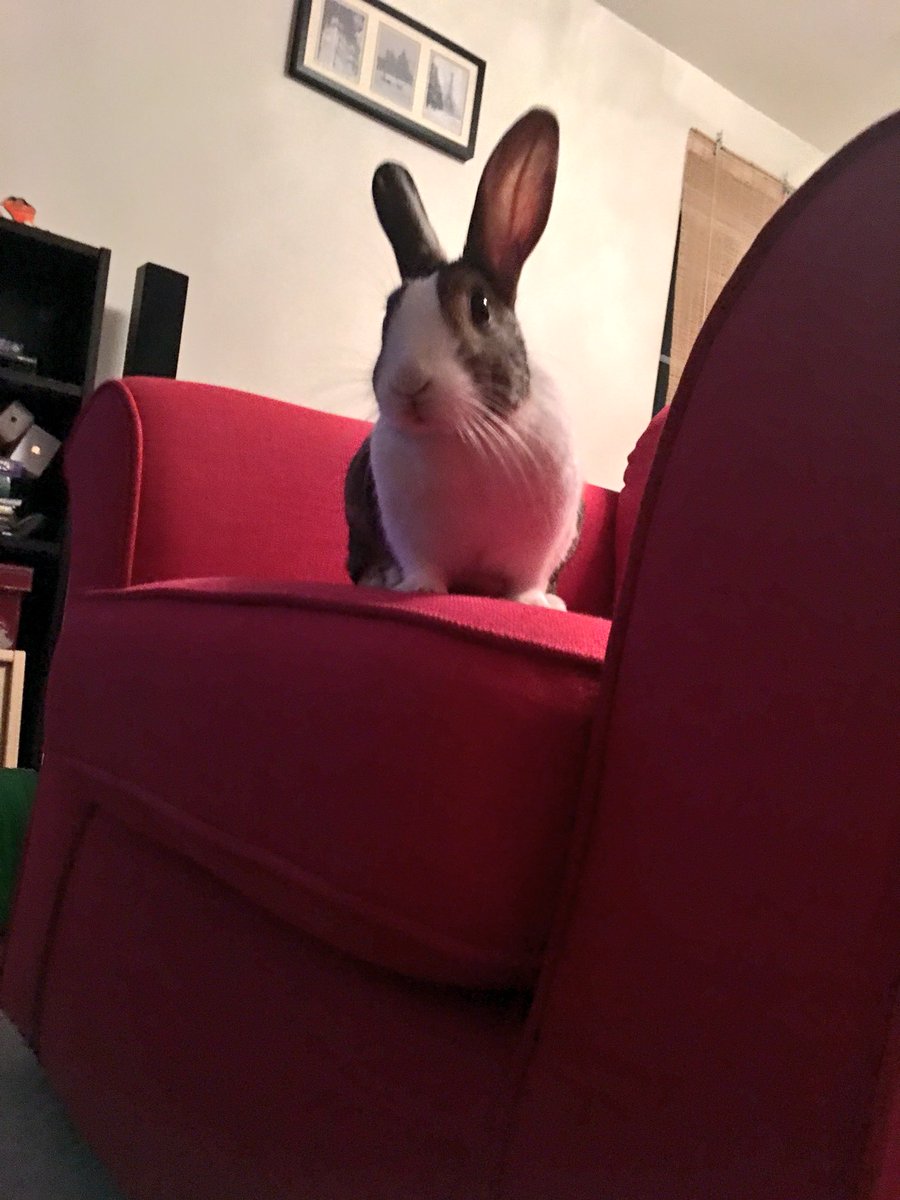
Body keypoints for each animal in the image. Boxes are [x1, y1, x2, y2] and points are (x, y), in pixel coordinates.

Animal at [344, 107, 582, 609]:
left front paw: (530, 603)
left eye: (481, 308)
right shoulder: (412, 537)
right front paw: (417, 588)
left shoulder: (537, 547)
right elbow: (424, 568)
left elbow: (526, 579)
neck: (466, 436)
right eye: (389, 312)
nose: (409, 383)